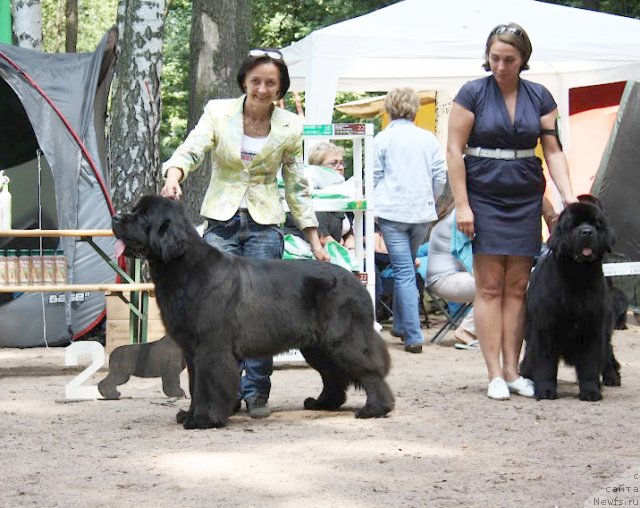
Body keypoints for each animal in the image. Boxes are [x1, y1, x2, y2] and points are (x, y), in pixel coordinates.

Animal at [114, 194, 396, 428]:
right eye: (134, 211)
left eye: (142, 217)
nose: (116, 217)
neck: (182, 266)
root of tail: (355, 279)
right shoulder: (192, 350)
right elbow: (195, 385)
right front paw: (189, 414)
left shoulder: (211, 348)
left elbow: (207, 384)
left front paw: (203, 419)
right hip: (318, 346)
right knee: (333, 375)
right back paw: (322, 403)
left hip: (343, 339)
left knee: (369, 370)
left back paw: (376, 408)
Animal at [524, 195, 624, 400]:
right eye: (573, 225)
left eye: (595, 224)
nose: (586, 232)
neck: (578, 277)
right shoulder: (545, 328)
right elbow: (545, 364)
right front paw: (545, 390)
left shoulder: (593, 328)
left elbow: (590, 363)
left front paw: (591, 391)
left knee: (608, 351)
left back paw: (611, 377)